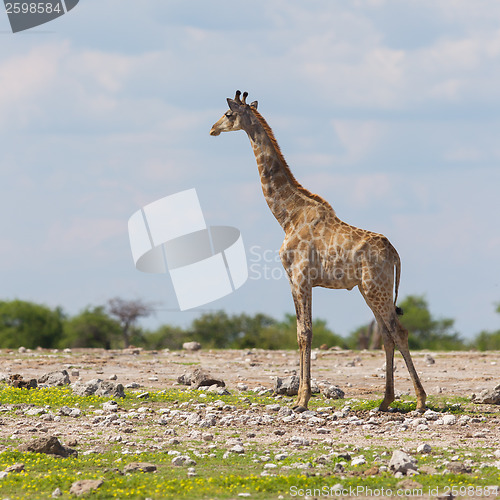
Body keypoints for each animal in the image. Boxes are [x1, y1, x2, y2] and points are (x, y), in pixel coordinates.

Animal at [210, 92, 426, 412]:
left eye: (227, 113)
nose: (212, 129)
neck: (287, 215)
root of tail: (396, 255)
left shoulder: (301, 277)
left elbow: (306, 333)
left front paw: (301, 399)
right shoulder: (293, 280)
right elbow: (300, 332)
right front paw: (301, 396)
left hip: (377, 288)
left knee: (398, 332)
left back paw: (421, 400)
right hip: (369, 290)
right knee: (387, 335)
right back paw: (385, 401)